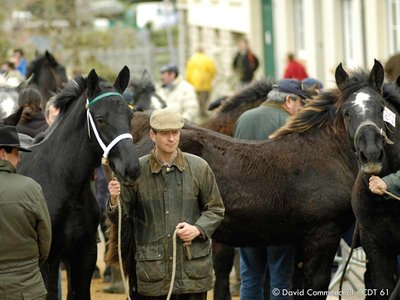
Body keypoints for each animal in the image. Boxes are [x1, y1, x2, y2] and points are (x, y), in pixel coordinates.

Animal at [129, 61, 388, 298]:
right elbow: (315, 285)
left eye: (381, 107)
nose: (371, 153)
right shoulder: (323, 236)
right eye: (347, 112)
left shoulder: (300, 242)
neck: (325, 155)